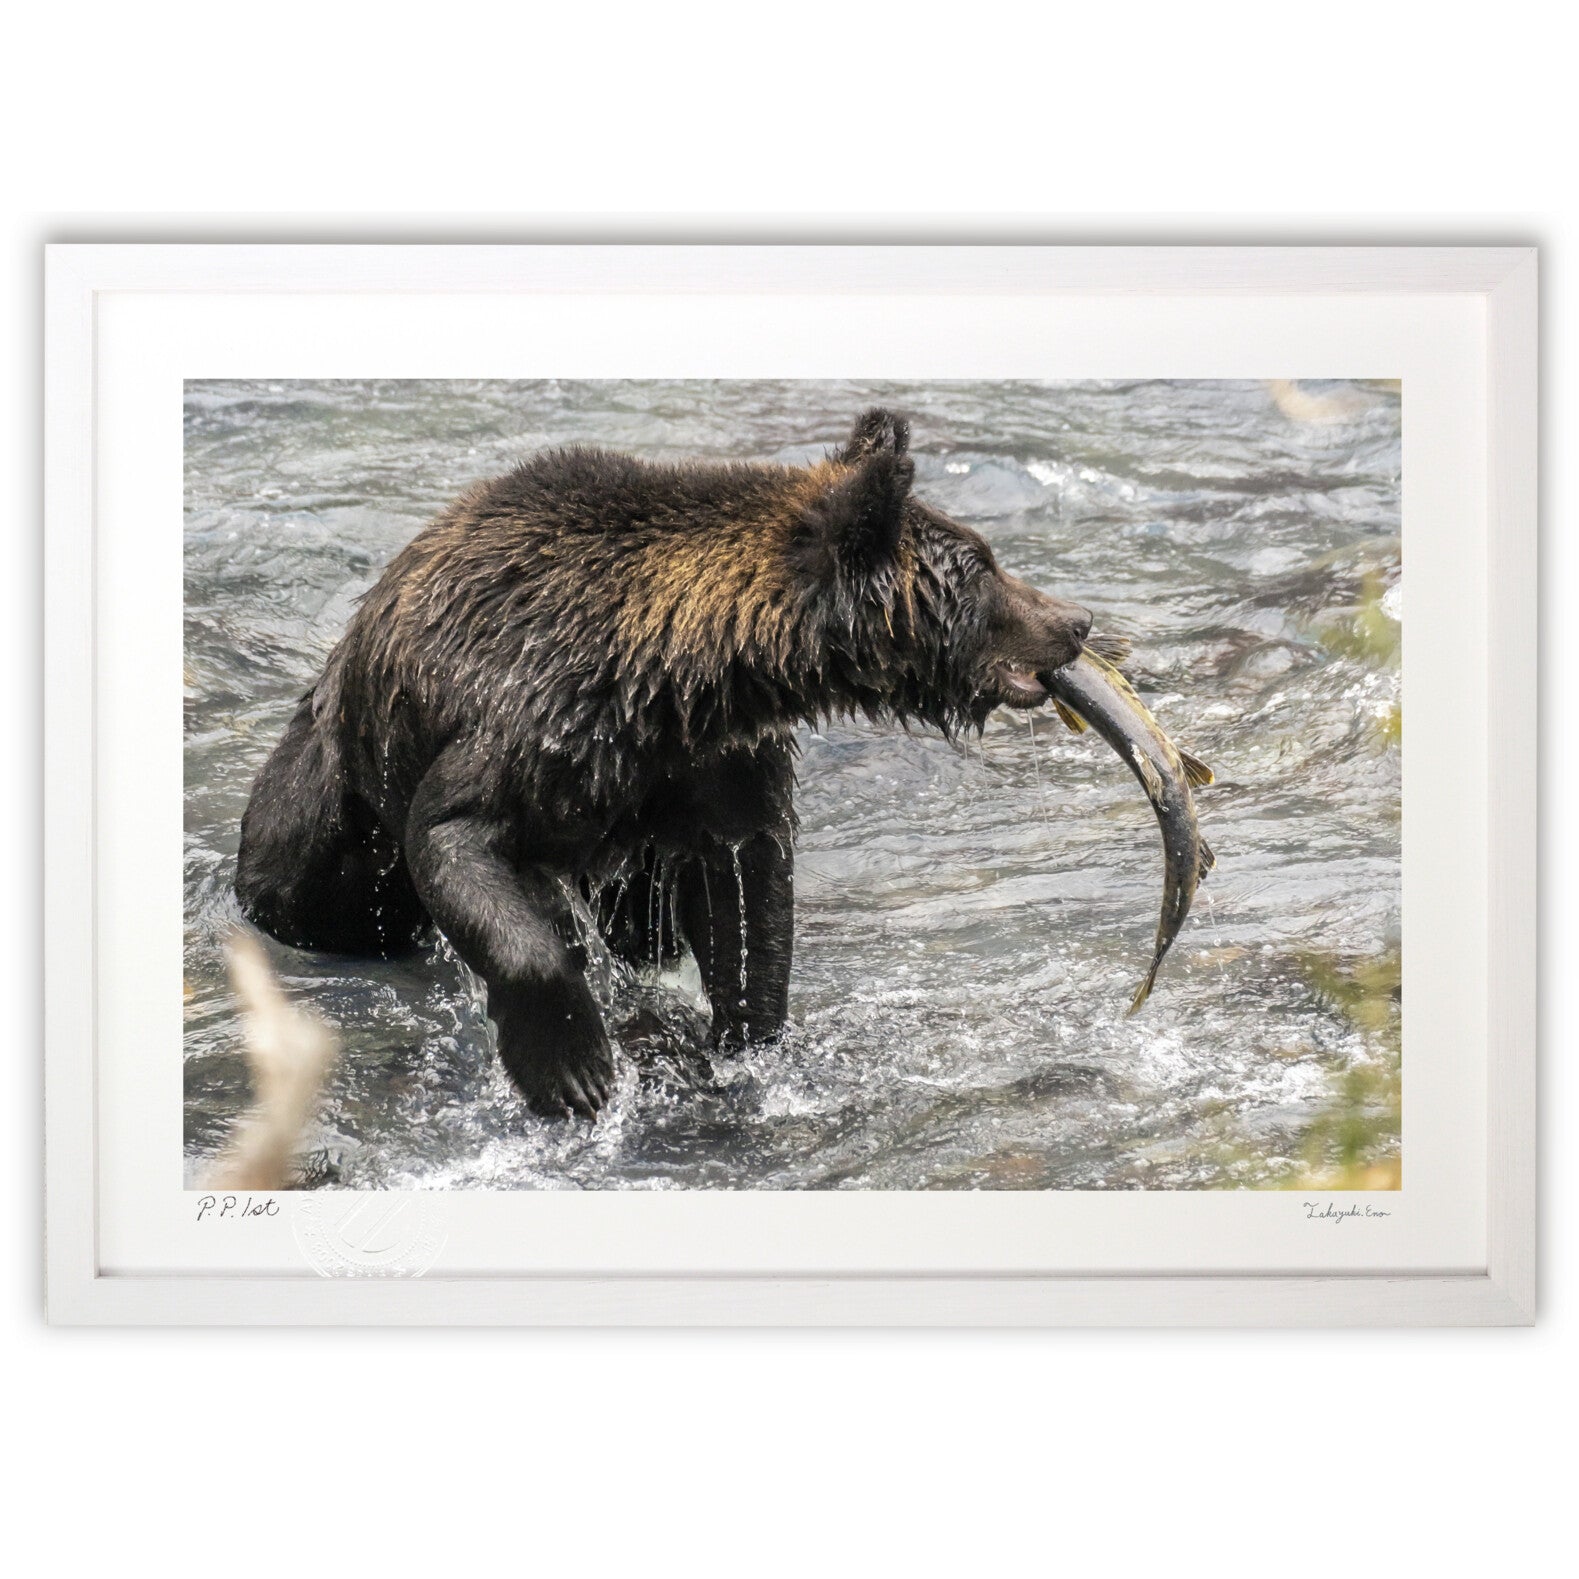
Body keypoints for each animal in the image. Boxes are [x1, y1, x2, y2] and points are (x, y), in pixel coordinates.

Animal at [235, 409, 1093, 1118]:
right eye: (982, 565)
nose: (1077, 620)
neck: (682, 675)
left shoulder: (712, 764)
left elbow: (747, 893)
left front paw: (747, 1034)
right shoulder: (528, 714)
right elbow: (454, 832)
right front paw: (574, 1069)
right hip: (335, 797)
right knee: (304, 878)